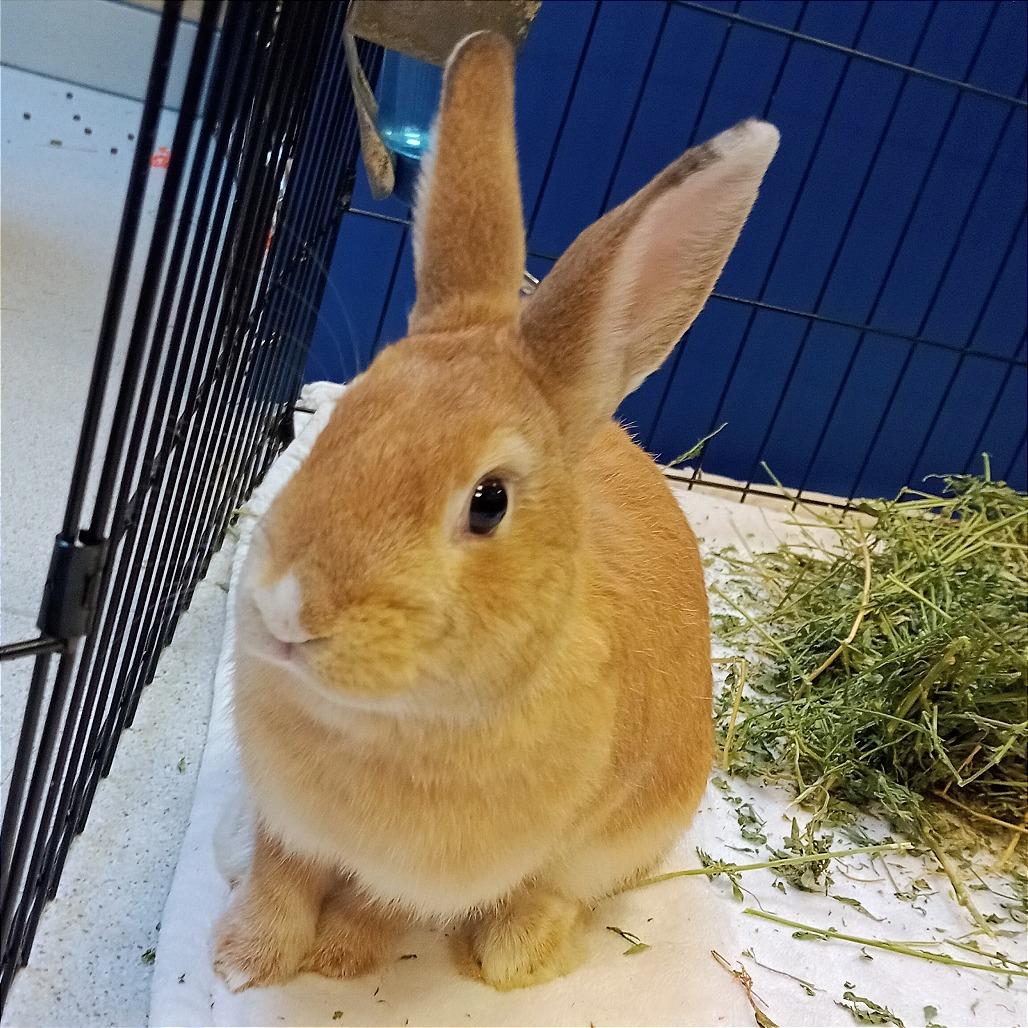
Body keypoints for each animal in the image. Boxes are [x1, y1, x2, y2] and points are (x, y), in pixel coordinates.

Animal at [212, 30, 778, 993]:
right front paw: (244, 958)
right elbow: (278, 875)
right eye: (341, 421)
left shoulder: (424, 875)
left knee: (560, 894)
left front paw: (338, 961)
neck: (387, 727)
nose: (288, 611)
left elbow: (377, 907)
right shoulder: (283, 821)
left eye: (489, 502)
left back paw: (514, 955)